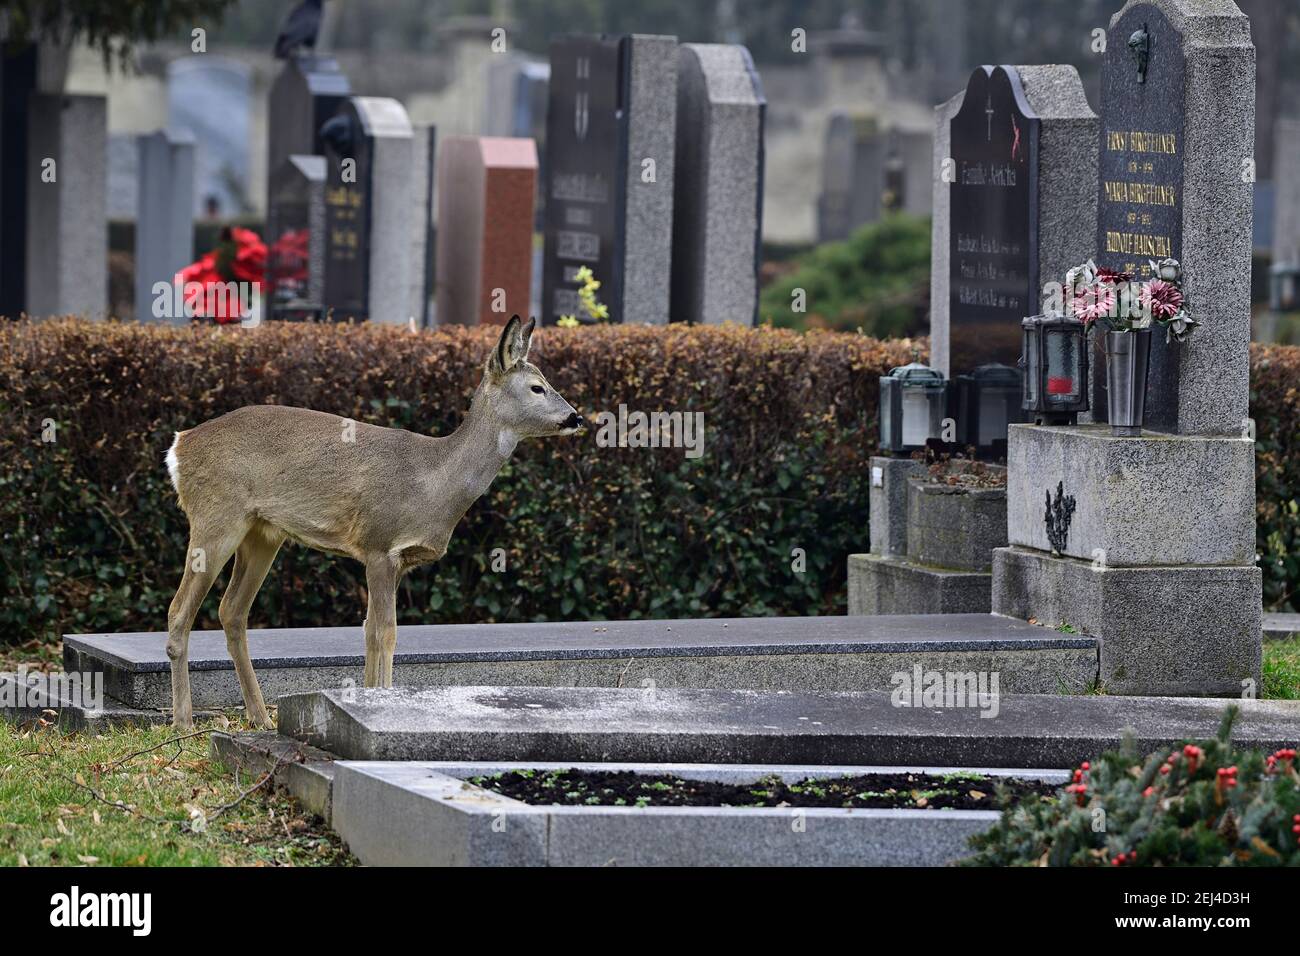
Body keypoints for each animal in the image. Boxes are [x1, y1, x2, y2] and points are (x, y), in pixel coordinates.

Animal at [159, 317, 582, 728]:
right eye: (537, 387)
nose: (575, 417)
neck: (433, 483)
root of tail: (179, 445)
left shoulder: (397, 560)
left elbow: (368, 630)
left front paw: (369, 699)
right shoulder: (380, 544)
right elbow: (385, 633)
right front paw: (382, 703)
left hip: (262, 533)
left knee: (231, 611)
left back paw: (260, 717)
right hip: (215, 515)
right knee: (179, 610)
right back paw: (183, 721)